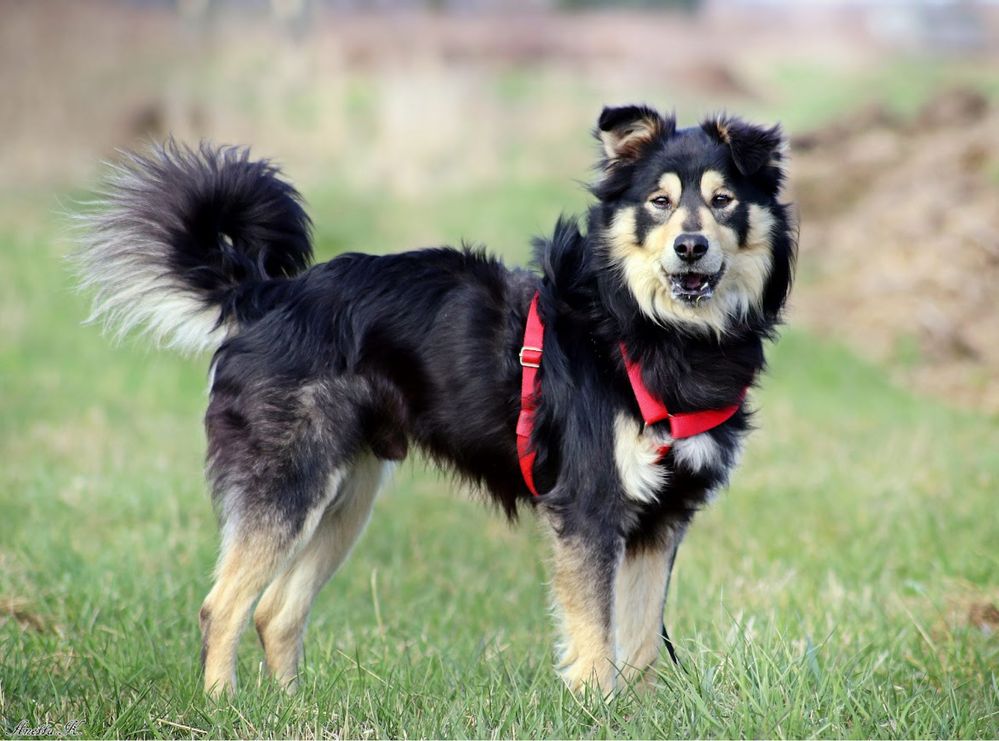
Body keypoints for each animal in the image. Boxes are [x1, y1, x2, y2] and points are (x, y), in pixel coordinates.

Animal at [76, 104, 796, 692]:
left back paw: (288, 708)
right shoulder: (590, 506)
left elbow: (642, 647)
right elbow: (596, 639)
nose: (689, 247)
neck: (647, 329)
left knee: (275, 611)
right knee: (221, 606)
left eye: (723, 200)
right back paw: (225, 706)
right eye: (658, 201)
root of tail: (264, 295)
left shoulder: (661, 520)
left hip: (346, 496)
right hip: (288, 480)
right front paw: (595, 709)